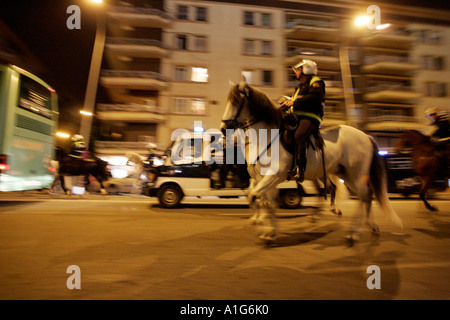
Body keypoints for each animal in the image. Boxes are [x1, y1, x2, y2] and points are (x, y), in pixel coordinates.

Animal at [220, 79, 402, 242]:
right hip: (342, 174)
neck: (266, 137)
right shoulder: (263, 178)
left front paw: (264, 228)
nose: (223, 129)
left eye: (236, 101)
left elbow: (256, 197)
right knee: (359, 195)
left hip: (355, 174)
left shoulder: (273, 176)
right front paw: (269, 230)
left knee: (364, 196)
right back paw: (368, 226)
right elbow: (265, 201)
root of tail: (366, 136)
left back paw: (354, 233)